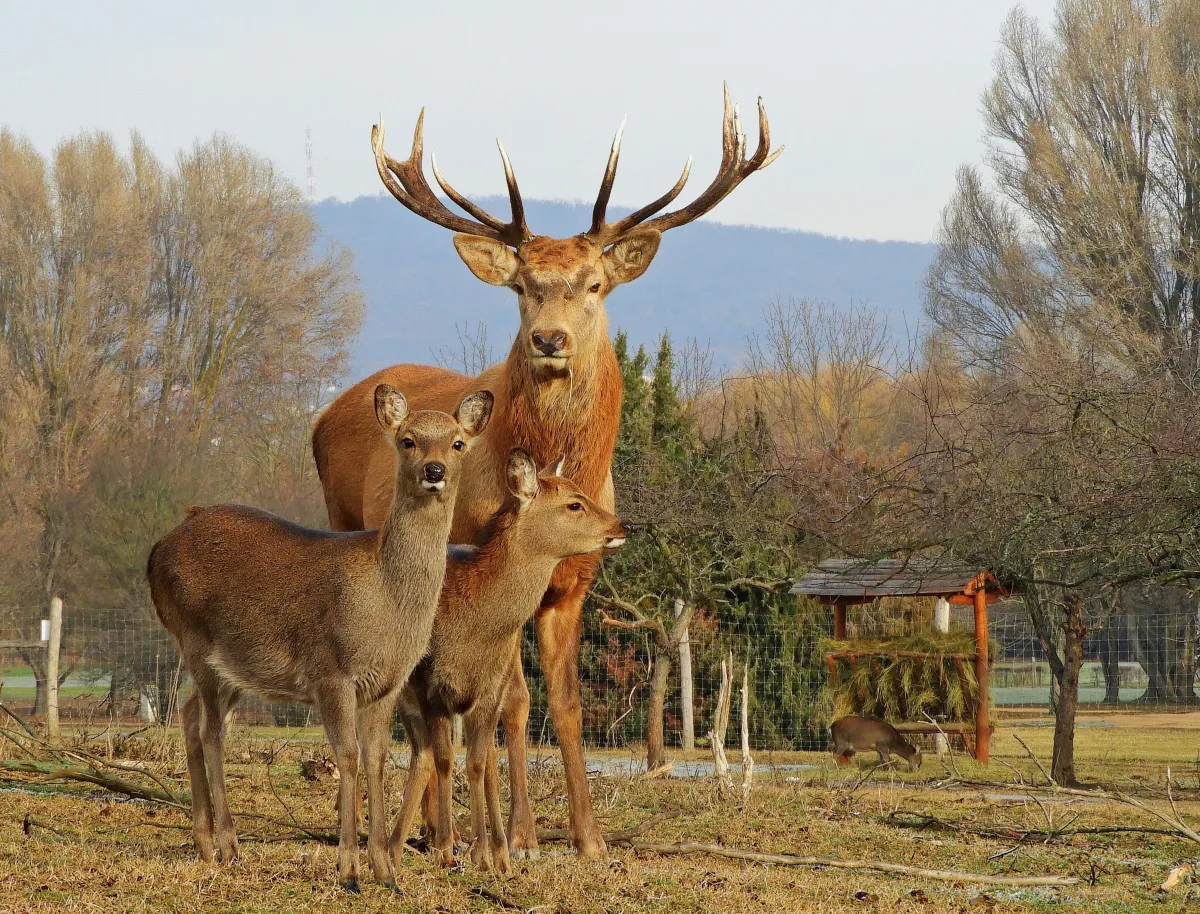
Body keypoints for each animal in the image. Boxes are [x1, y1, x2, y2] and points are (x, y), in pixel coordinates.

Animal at [148, 386, 492, 892]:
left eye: (458, 443)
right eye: (407, 440)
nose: (435, 471)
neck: (387, 607)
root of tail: (157, 550)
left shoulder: (387, 685)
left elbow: (376, 758)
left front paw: (385, 869)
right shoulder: (331, 673)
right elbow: (346, 756)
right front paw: (348, 868)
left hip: (235, 665)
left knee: (189, 715)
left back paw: (204, 841)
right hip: (194, 639)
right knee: (211, 729)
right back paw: (229, 844)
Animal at [388, 448, 628, 868]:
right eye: (574, 503)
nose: (621, 525)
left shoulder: (490, 689)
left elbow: (478, 762)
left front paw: (491, 855)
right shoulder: (434, 686)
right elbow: (448, 759)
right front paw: (446, 849)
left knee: (427, 753)